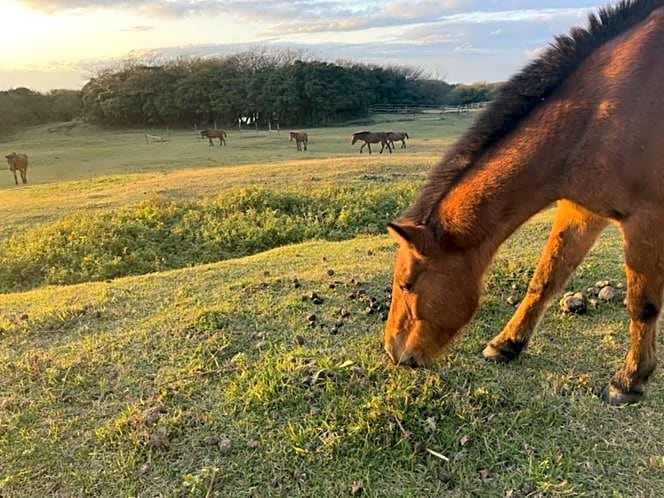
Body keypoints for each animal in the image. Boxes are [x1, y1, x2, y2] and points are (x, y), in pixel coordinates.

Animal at [384, 0, 664, 404]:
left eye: (407, 285)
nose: (393, 352)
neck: (598, 110)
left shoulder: (645, 219)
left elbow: (642, 304)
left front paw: (629, 380)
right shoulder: (582, 210)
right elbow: (546, 278)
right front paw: (506, 344)